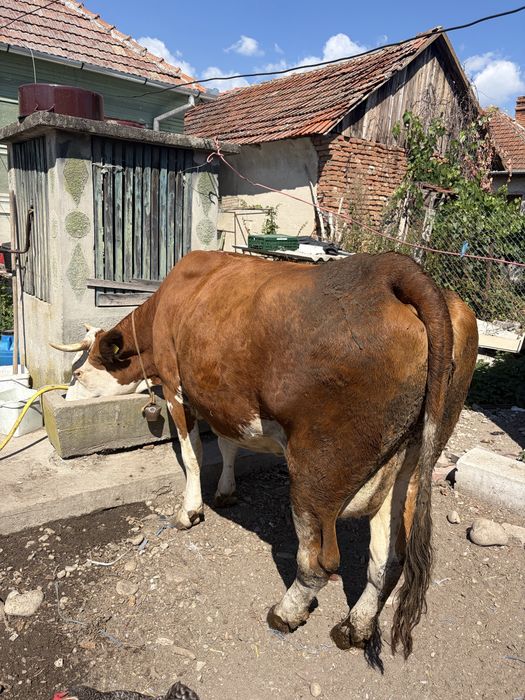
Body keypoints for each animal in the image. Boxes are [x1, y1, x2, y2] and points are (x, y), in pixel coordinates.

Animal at [51, 250, 478, 660]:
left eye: (79, 374)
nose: (63, 399)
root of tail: (391, 269)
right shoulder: (223, 400)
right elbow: (227, 444)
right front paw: (226, 490)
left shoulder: (176, 386)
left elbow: (192, 454)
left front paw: (189, 511)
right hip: (410, 464)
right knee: (388, 559)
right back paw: (354, 628)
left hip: (317, 470)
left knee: (318, 560)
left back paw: (286, 612)